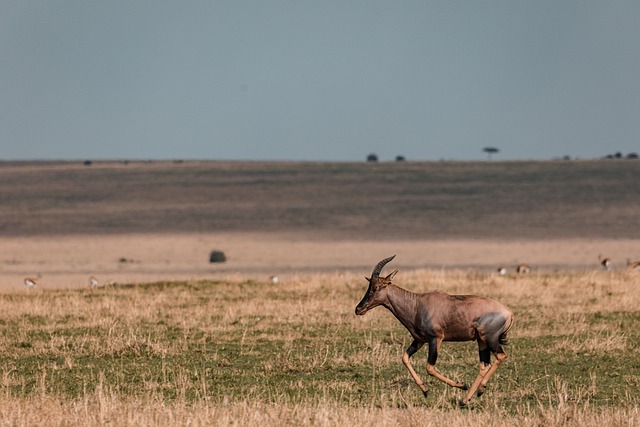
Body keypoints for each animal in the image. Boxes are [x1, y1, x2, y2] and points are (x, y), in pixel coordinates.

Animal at [356, 256, 516, 406]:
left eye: (377, 287)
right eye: (369, 286)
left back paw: (479, 389)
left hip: (490, 339)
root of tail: (509, 313)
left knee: (501, 356)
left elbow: (430, 368)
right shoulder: (419, 340)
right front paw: (425, 390)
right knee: (484, 365)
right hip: (481, 341)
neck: (417, 304)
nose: (358, 309)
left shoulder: (435, 339)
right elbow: (405, 358)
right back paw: (467, 399)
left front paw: (461, 385)